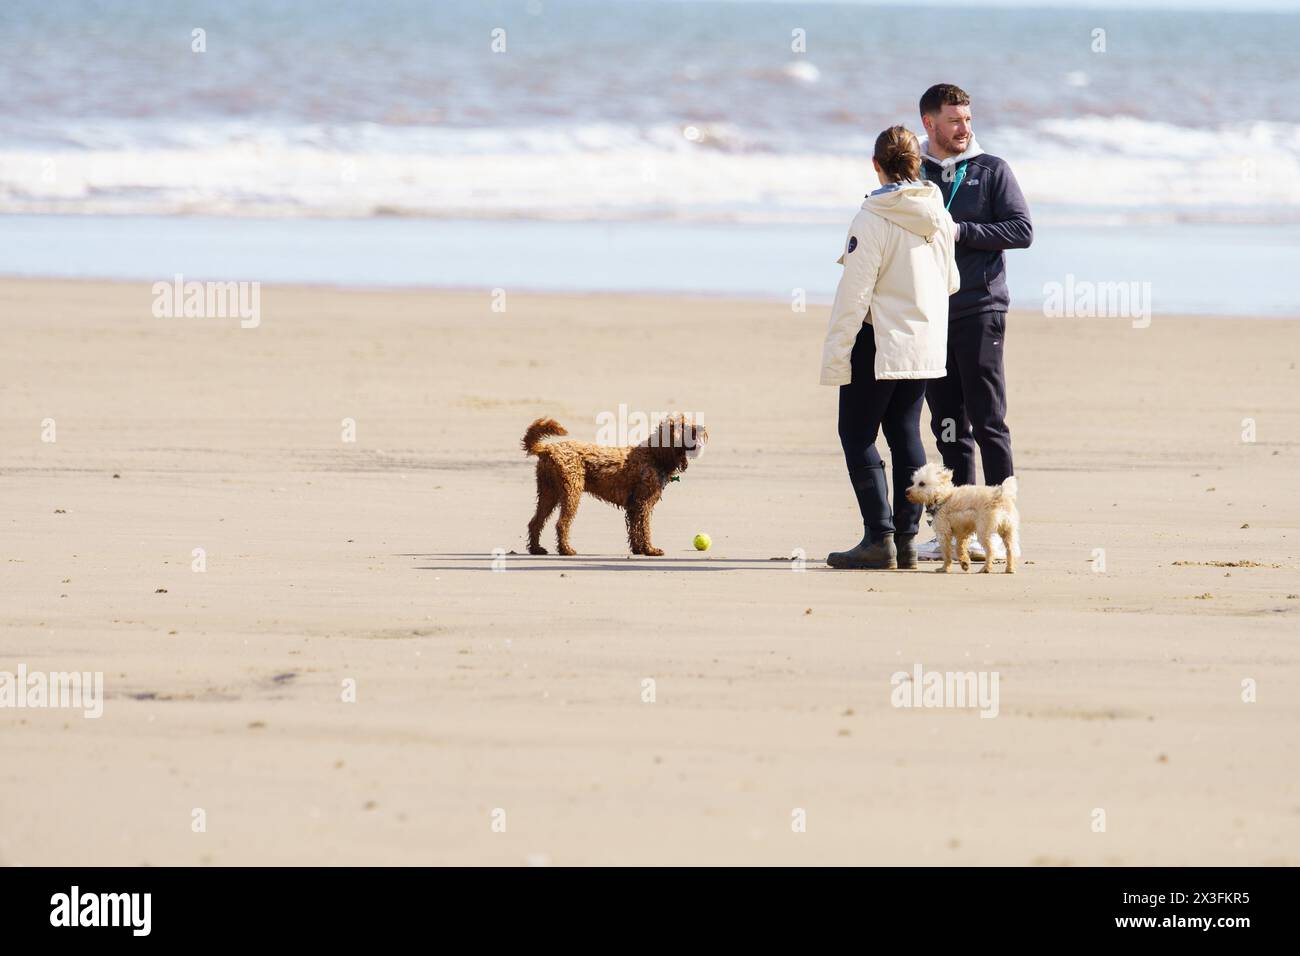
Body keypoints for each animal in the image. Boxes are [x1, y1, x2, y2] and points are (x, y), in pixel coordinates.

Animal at [522, 416, 712, 556]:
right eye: (684, 426)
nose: (703, 428)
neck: (654, 455)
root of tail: (547, 449)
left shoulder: (635, 505)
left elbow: (635, 529)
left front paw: (638, 549)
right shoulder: (644, 503)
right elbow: (645, 528)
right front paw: (650, 550)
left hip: (548, 493)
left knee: (535, 522)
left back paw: (536, 549)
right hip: (571, 492)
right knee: (561, 523)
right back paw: (566, 550)